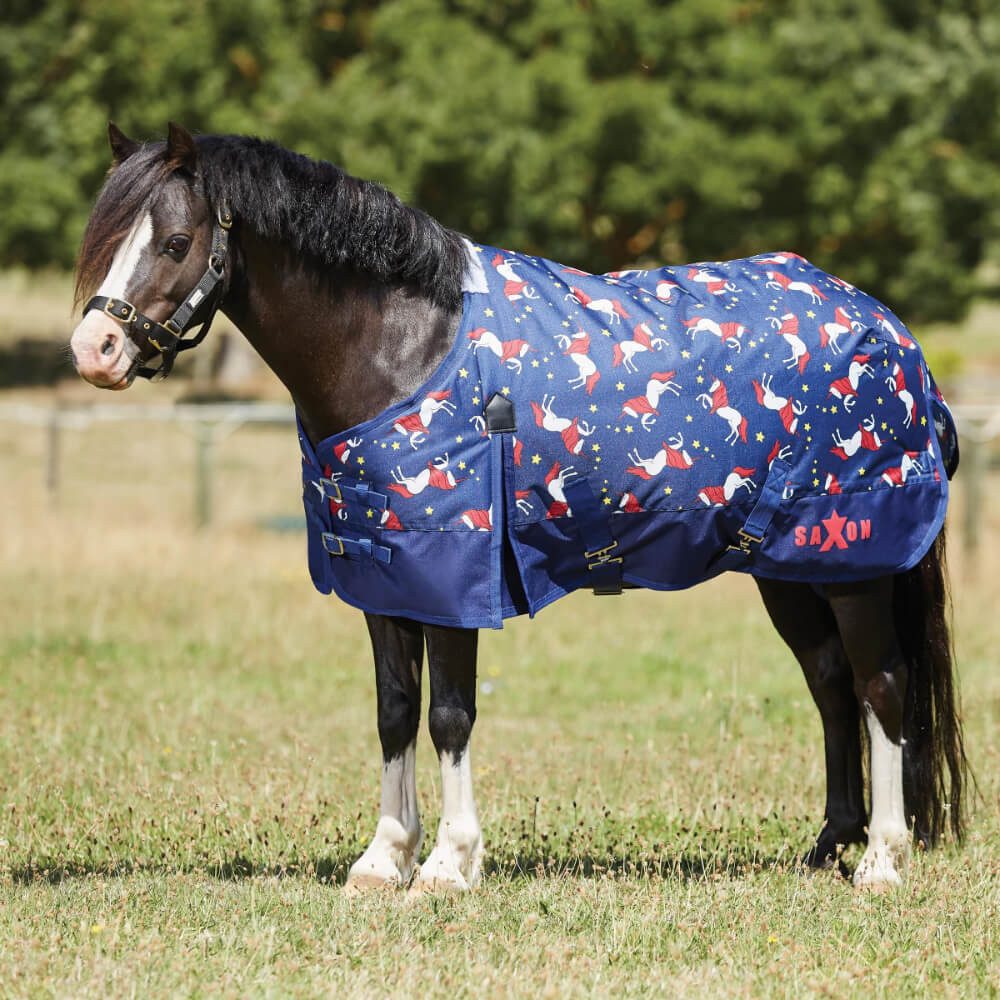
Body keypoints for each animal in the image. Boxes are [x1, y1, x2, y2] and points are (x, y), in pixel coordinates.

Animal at [69, 123, 968, 893]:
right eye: (103, 241)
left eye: (175, 244)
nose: (94, 351)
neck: (403, 349)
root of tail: (889, 330)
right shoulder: (384, 572)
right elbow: (395, 711)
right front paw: (383, 859)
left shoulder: (455, 572)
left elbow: (449, 714)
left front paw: (447, 865)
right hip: (789, 567)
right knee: (831, 684)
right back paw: (829, 846)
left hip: (855, 560)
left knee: (882, 685)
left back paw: (881, 860)